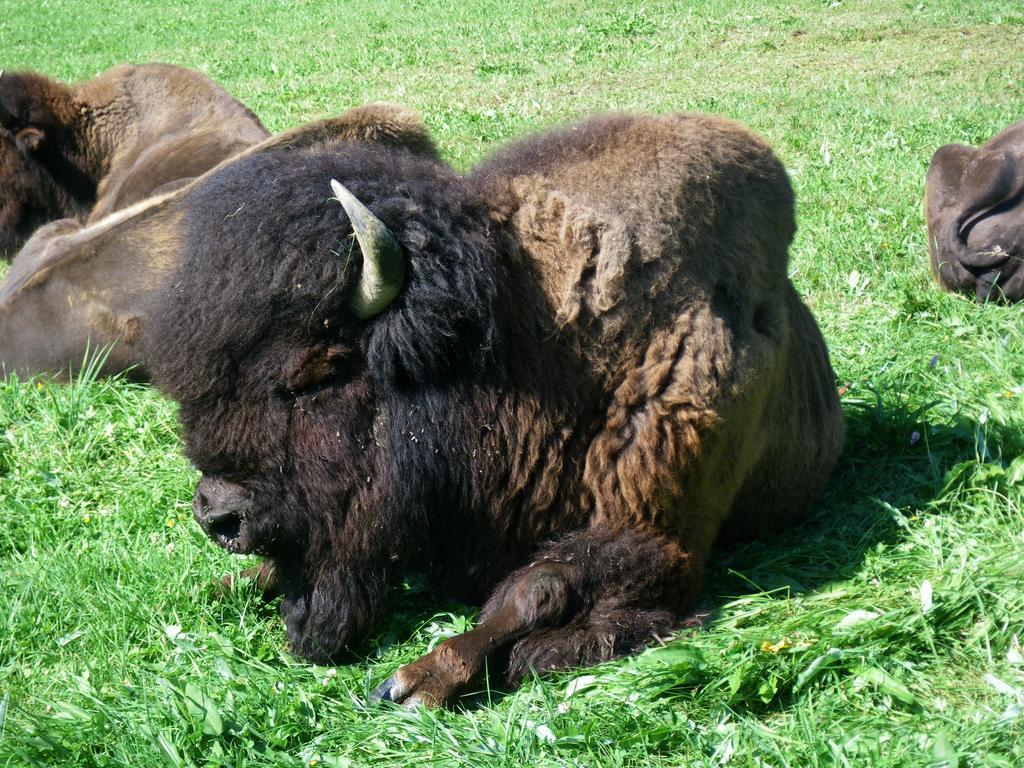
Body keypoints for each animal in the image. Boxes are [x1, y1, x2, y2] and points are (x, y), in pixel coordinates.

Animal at [146, 111, 847, 708]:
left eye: (318, 373)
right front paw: (213, 589)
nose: (217, 516)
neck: (522, 350)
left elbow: (539, 589)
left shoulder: (652, 536)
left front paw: (415, 680)